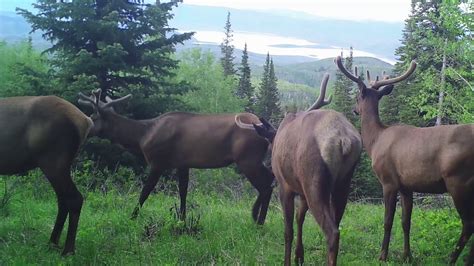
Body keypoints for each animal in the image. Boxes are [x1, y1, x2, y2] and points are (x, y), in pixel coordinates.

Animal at [0, 95, 93, 256]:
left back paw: (68, 250)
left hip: (53, 161)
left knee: (74, 198)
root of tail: (86, 121)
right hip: (59, 165)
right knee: (63, 200)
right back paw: (52, 243)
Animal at [78, 91, 274, 224]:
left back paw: (259, 219)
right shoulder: (183, 163)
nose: (84, 126)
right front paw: (182, 218)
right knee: (270, 179)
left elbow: (145, 191)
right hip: (254, 160)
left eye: (94, 115)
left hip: (247, 159)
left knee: (266, 185)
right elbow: (183, 191)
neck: (142, 137)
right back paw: (257, 216)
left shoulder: (158, 162)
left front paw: (132, 216)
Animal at [254, 74, 362, 264]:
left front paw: (288, 261)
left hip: (314, 182)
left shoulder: (285, 186)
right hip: (343, 183)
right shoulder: (302, 192)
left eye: (269, 145)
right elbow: (300, 218)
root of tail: (344, 139)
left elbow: (288, 231)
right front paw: (299, 256)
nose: (267, 164)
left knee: (332, 233)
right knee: (337, 224)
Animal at [336, 55, 474, 264]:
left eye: (357, 97)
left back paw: (453, 260)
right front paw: (407, 255)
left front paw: (382, 255)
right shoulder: (407, 186)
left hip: (459, 181)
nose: (354, 110)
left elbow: (387, 221)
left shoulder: (388, 181)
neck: (375, 141)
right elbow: (406, 221)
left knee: (468, 224)